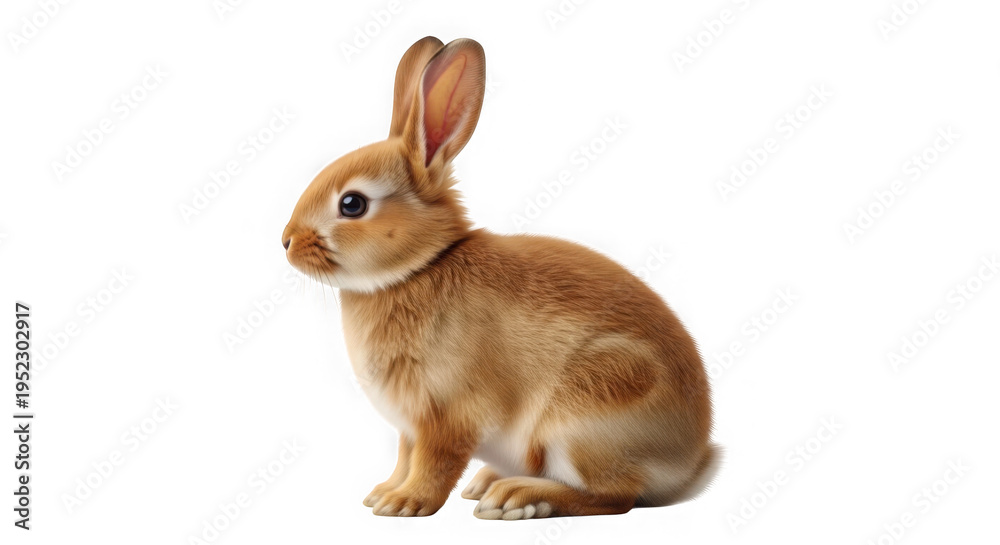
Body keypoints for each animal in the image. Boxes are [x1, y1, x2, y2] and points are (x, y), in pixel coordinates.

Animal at [282, 36, 718, 519]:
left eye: (352, 204)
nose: (286, 242)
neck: (420, 266)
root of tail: (690, 462)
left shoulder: (449, 415)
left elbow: (434, 461)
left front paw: (405, 503)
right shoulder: (410, 426)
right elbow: (404, 456)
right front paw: (383, 493)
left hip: (587, 413)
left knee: (613, 496)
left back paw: (515, 498)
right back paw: (490, 482)